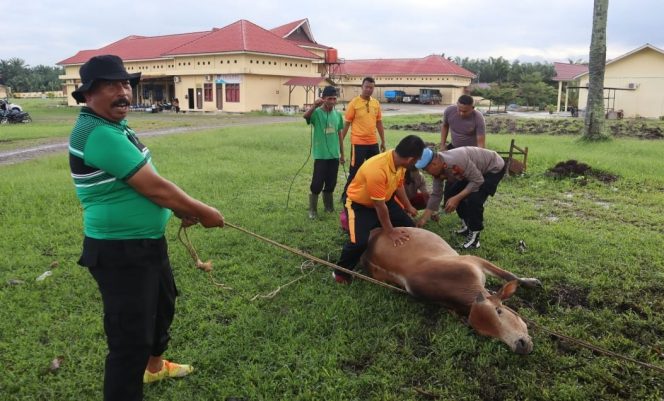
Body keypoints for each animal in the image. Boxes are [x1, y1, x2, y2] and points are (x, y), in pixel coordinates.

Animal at [360, 225, 544, 354]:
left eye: (499, 310)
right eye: (486, 333)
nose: (520, 346)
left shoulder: (474, 259)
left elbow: (508, 275)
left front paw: (531, 282)